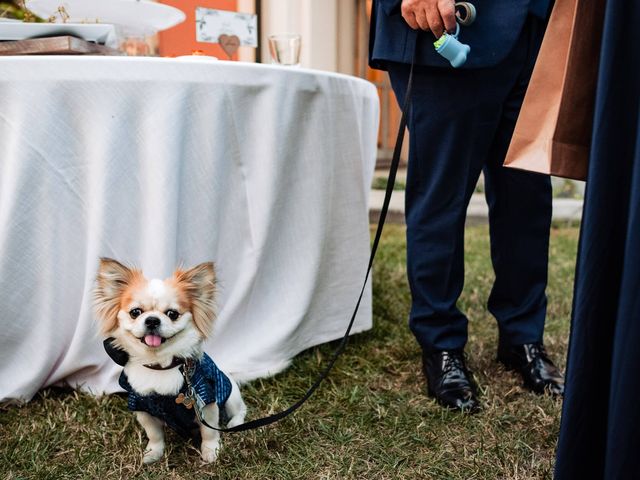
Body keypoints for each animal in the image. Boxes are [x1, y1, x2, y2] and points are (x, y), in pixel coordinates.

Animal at [94, 258, 246, 464]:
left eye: (172, 314)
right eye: (135, 312)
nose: (152, 320)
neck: (159, 366)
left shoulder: (206, 400)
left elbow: (209, 432)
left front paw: (211, 451)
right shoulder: (141, 407)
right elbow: (154, 435)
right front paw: (153, 453)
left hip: (229, 392)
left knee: (240, 410)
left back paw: (235, 423)